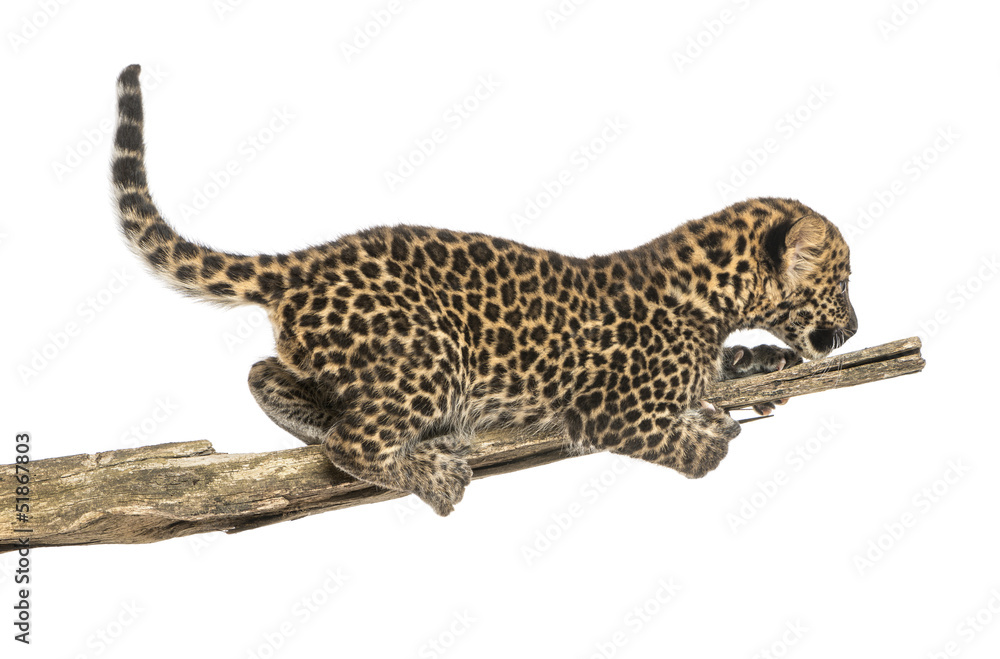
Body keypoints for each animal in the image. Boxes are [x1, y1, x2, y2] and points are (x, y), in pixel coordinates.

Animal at [111, 65, 858, 516]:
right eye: (844, 280)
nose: (853, 327)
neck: (711, 295)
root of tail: (303, 263)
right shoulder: (607, 409)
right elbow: (673, 440)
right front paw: (709, 440)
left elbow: (722, 370)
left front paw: (765, 365)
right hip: (430, 354)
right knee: (352, 443)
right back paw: (433, 474)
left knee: (263, 370)